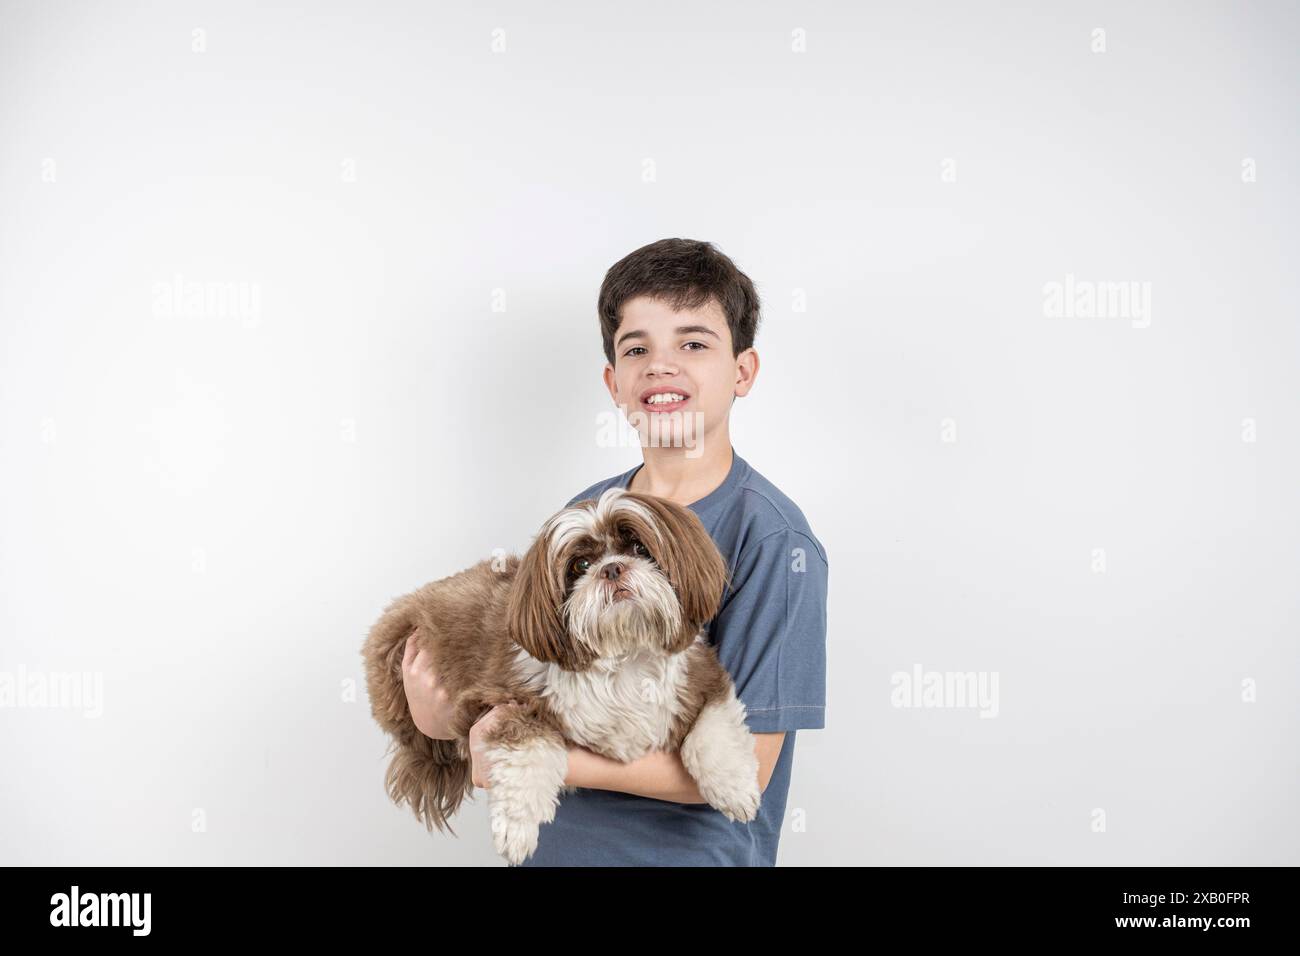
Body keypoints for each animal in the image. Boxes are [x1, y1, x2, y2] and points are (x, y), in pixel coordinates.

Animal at [361, 486, 759, 868]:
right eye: (581, 564)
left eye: (638, 547)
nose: (612, 569)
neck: (624, 657)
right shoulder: (498, 700)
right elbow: (528, 749)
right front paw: (516, 828)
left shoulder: (699, 677)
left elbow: (713, 728)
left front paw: (735, 786)